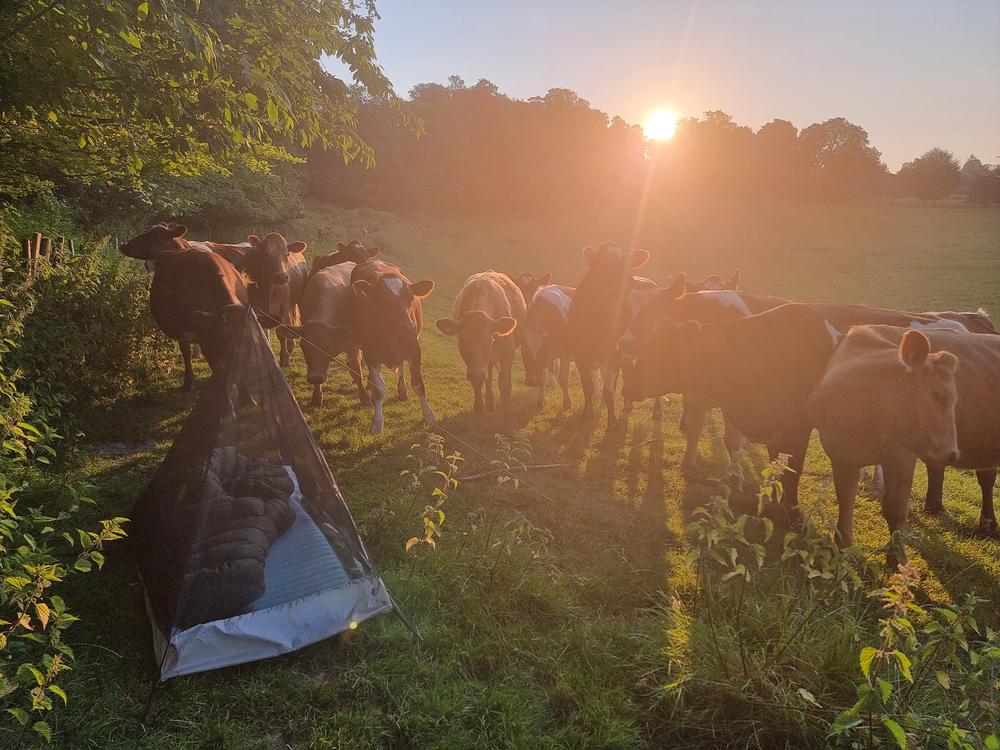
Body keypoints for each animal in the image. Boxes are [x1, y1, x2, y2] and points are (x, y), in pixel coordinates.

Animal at [283, 262, 368, 408]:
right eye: (304, 346)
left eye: (327, 346)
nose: (315, 377)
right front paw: (317, 397)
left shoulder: (351, 344)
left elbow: (356, 372)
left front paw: (365, 398)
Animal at [350, 259, 436, 434]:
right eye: (383, 301)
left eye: (411, 299)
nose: (410, 328)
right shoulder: (371, 353)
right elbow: (379, 389)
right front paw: (377, 422)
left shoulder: (414, 350)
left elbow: (418, 384)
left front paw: (429, 415)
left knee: (401, 368)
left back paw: (402, 390)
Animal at [436, 271, 526, 418]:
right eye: (462, 342)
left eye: (490, 340)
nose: (477, 374)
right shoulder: (474, 366)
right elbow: (478, 382)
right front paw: (479, 405)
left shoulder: (508, 352)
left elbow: (504, 383)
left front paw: (508, 411)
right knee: (487, 376)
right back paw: (489, 402)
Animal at [565, 241, 650, 429]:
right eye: (599, 269)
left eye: (627, 271)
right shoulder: (579, 354)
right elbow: (588, 386)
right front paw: (587, 413)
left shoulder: (614, 356)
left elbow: (609, 392)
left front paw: (612, 422)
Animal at [808, 326, 970, 547]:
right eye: (939, 395)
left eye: (954, 399)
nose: (953, 454)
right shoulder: (841, 455)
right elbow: (846, 497)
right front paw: (843, 542)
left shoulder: (901, 456)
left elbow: (896, 509)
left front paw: (897, 554)